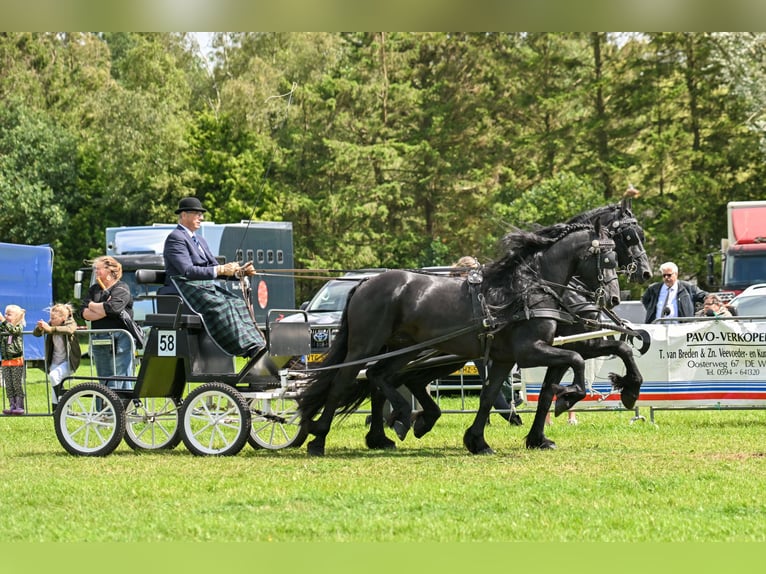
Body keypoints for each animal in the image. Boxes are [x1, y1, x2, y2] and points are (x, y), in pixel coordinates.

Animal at [296, 223, 620, 456]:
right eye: (607, 259)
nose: (613, 298)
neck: (527, 289)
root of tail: (364, 283)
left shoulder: (506, 358)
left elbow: (490, 395)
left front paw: (478, 441)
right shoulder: (530, 351)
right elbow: (575, 361)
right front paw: (568, 396)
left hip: (403, 348)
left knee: (379, 376)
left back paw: (400, 421)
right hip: (366, 345)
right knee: (343, 383)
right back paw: (320, 439)